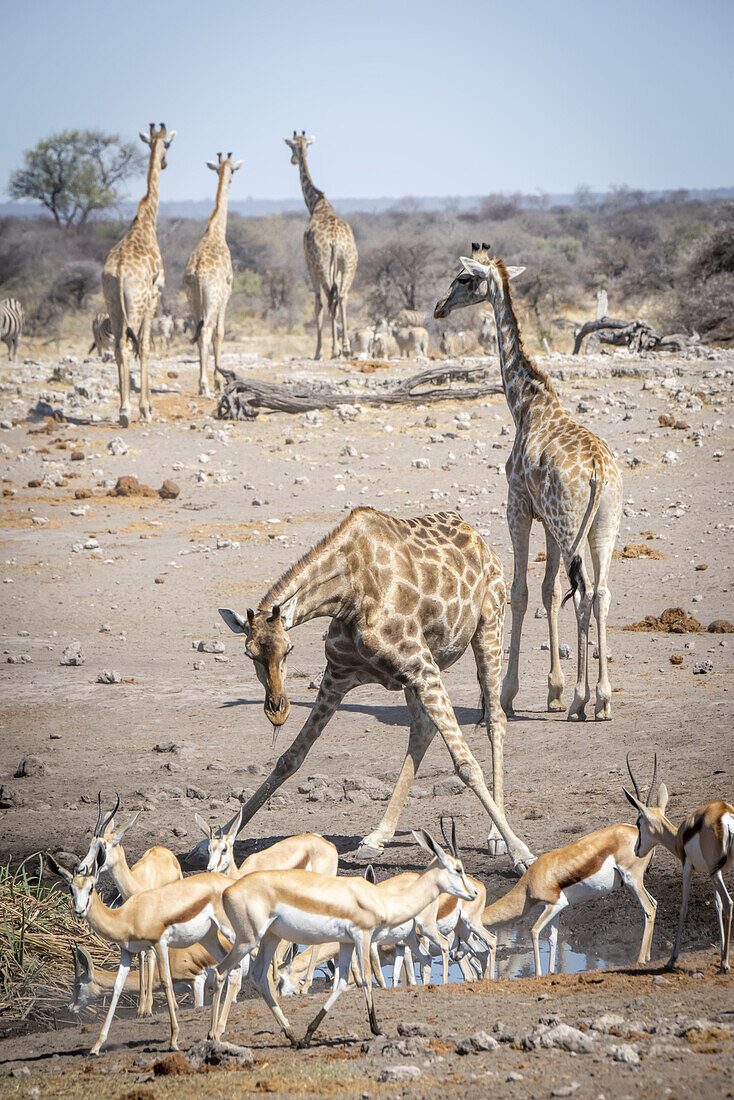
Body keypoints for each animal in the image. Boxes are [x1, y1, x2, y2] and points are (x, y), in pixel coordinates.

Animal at [217, 503, 534, 871]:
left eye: (289, 649)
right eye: (249, 654)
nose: (277, 710)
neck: (347, 593)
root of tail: (481, 542)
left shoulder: (423, 668)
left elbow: (466, 765)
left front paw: (521, 852)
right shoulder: (340, 675)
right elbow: (290, 758)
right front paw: (217, 838)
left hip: (488, 625)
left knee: (495, 719)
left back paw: (495, 836)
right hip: (418, 671)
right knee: (422, 730)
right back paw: (376, 837)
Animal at [283, 130, 358, 358]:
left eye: (292, 146)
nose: (293, 159)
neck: (316, 204)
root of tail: (335, 242)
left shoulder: (310, 265)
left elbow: (317, 305)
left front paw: (318, 351)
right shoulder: (338, 267)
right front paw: (340, 346)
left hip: (324, 265)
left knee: (330, 299)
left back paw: (333, 350)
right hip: (348, 264)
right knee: (342, 296)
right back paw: (346, 348)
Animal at [433, 245, 625, 721]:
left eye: (463, 278)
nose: (439, 307)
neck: (524, 402)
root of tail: (598, 470)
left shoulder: (517, 506)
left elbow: (519, 592)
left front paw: (508, 692)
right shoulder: (548, 522)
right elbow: (548, 590)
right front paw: (553, 689)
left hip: (571, 524)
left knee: (584, 594)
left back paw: (582, 699)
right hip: (602, 526)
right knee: (601, 593)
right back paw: (603, 698)